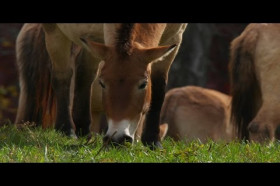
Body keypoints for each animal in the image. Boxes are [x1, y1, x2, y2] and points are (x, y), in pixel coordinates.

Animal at [14, 23, 186, 148]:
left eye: (143, 84)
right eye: (102, 83)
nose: (118, 138)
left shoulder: (174, 39)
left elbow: (159, 91)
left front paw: (153, 142)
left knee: (84, 72)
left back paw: (84, 129)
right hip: (55, 33)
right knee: (62, 77)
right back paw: (67, 130)